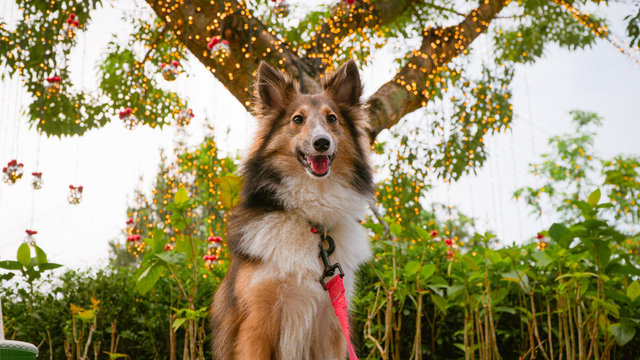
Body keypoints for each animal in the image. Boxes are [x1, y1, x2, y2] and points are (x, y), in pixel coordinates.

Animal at [212, 60, 372, 358]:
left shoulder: (331, 327)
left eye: (332, 119)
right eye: (297, 119)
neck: (309, 218)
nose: (322, 143)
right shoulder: (256, 323)